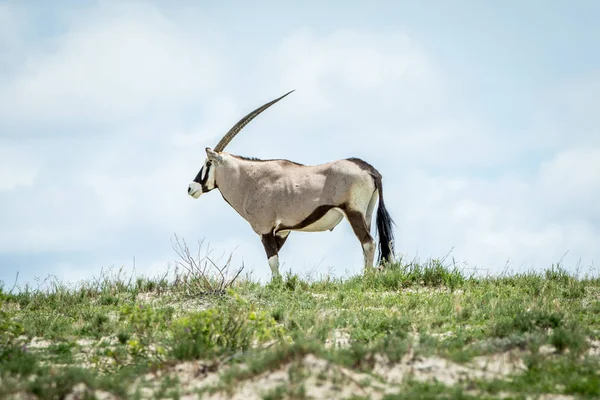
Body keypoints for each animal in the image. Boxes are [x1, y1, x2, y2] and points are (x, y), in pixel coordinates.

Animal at [188, 90, 394, 278]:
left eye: (208, 163)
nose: (191, 188)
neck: (248, 180)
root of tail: (369, 169)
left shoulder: (265, 229)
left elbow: (272, 261)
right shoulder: (282, 231)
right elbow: (276, 261)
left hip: (353, 212)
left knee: (368, 242)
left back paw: (366, 277)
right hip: (366, 214)